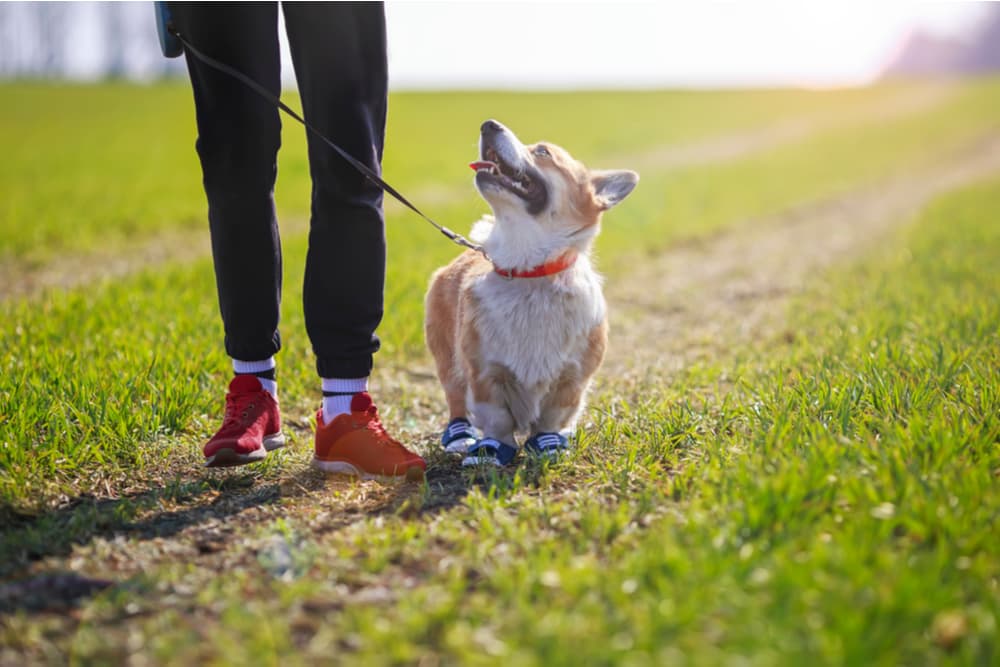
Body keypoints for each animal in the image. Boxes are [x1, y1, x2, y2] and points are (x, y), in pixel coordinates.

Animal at [424, 118, 640, 464]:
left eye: (543, 152)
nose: (488, 123)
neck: (529, 270)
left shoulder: (571, 380)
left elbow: (552, 417)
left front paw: (548, 443)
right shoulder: (486, 374)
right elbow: (496, 419)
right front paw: (491, 450)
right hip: (447, 359)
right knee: (455, 398)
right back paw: (459, 437)